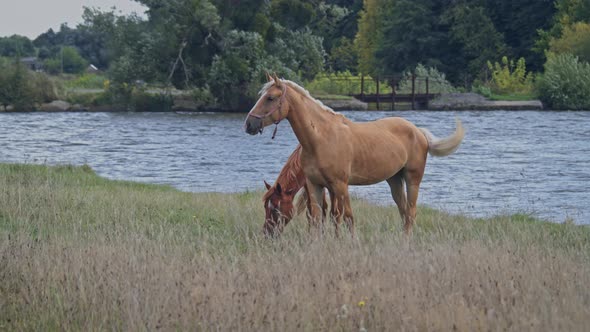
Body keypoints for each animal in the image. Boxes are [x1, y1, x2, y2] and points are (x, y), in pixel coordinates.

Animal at [243, 75, 464, 236]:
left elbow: (345, 216)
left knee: (410, 212)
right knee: (403, 211)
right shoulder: (315, 185)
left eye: (270, 98)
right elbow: (317, 217)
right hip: (394, 180)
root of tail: (419, 132)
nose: (248, 124)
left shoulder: (340, 185)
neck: (320, 139)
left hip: (412, 179)